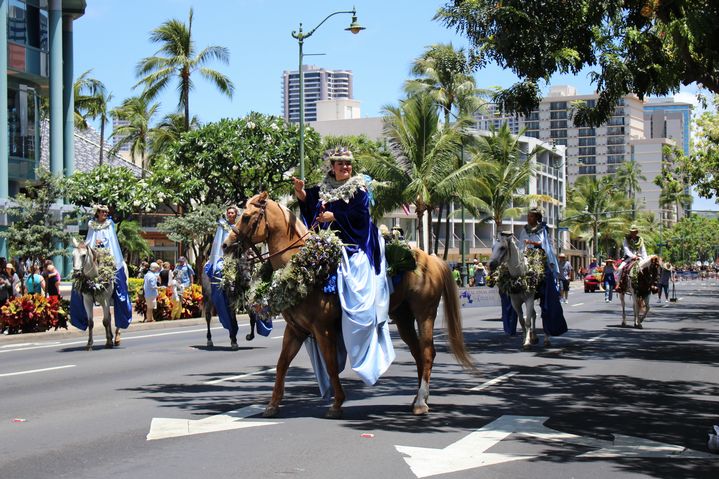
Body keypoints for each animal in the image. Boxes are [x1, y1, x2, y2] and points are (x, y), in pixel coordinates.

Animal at [224, 193, 472, 418]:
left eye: (246, 217)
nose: (226, 245)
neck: (303, 268)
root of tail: (433, 259)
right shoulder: (295, 330)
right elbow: (282, 364)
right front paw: (273, 405)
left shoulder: (322, 328)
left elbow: (331, 363)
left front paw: (336, 403)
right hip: (403, 318)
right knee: (418, 353)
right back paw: (418, 398)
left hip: (425, 313)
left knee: (428, 352)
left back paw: (421, 402)